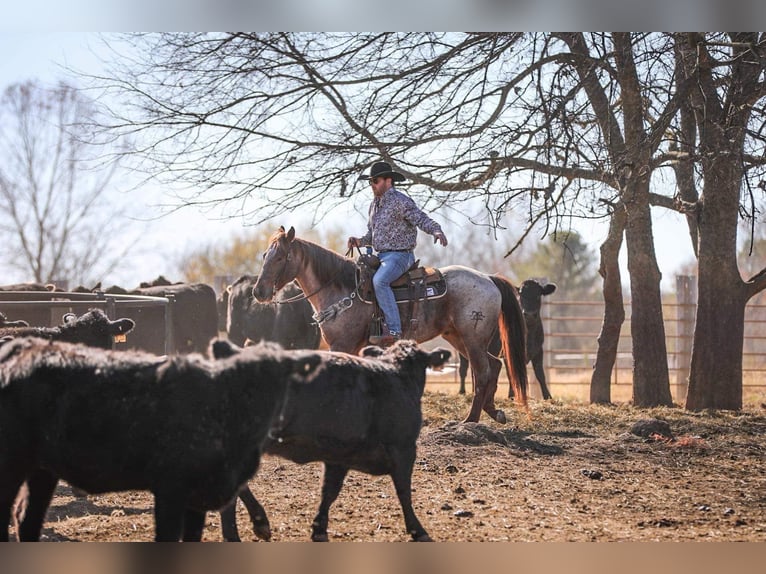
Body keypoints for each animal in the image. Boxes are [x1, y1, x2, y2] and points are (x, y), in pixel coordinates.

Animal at [252, 226, 527, 423]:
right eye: (265, 255)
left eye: (280, 257)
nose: (258, 292)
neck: (342, 288)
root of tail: (488, 278)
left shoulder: (342, 344)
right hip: (459, 337)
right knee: (494, 365)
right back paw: (494, 412)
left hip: (472, 338)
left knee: (482, 372)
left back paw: (470, 420)